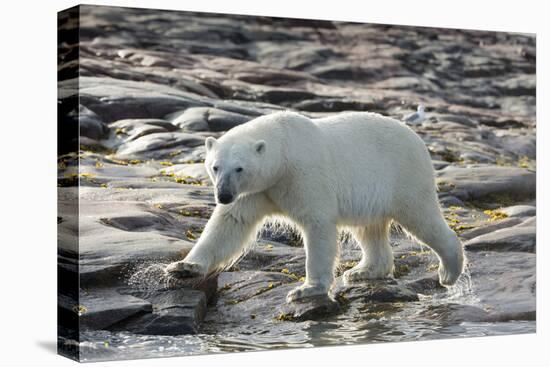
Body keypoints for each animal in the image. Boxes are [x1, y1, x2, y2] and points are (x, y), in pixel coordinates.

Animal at [167, 110, 466, 304]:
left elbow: (318, 225)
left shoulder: (303, 175)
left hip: (403, 176)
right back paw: (362, 271)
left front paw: (306, 290)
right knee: (368, 229)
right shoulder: (257, 190)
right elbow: (229, 225)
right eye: (215, 166)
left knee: (421, 217)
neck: (284, 150)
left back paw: (448, 271)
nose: (223, 195)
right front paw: (184, 266)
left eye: (239, 168)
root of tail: (418, 140)